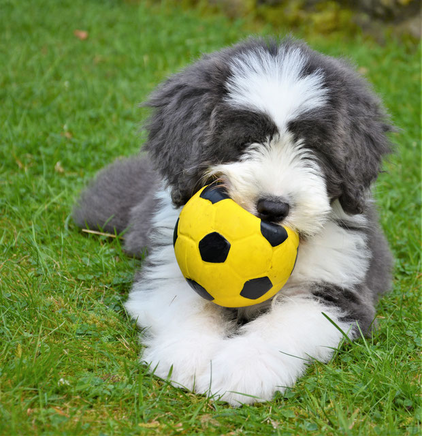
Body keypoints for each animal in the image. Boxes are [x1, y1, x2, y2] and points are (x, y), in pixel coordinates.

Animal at [72, 37, 392, 406]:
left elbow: (283, 324)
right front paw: (187, 359)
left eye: (311, 148)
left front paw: (242, 370)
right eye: (244, 141)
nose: (273, 207)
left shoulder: (338, 291)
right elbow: (189, 305)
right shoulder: (170, 267)